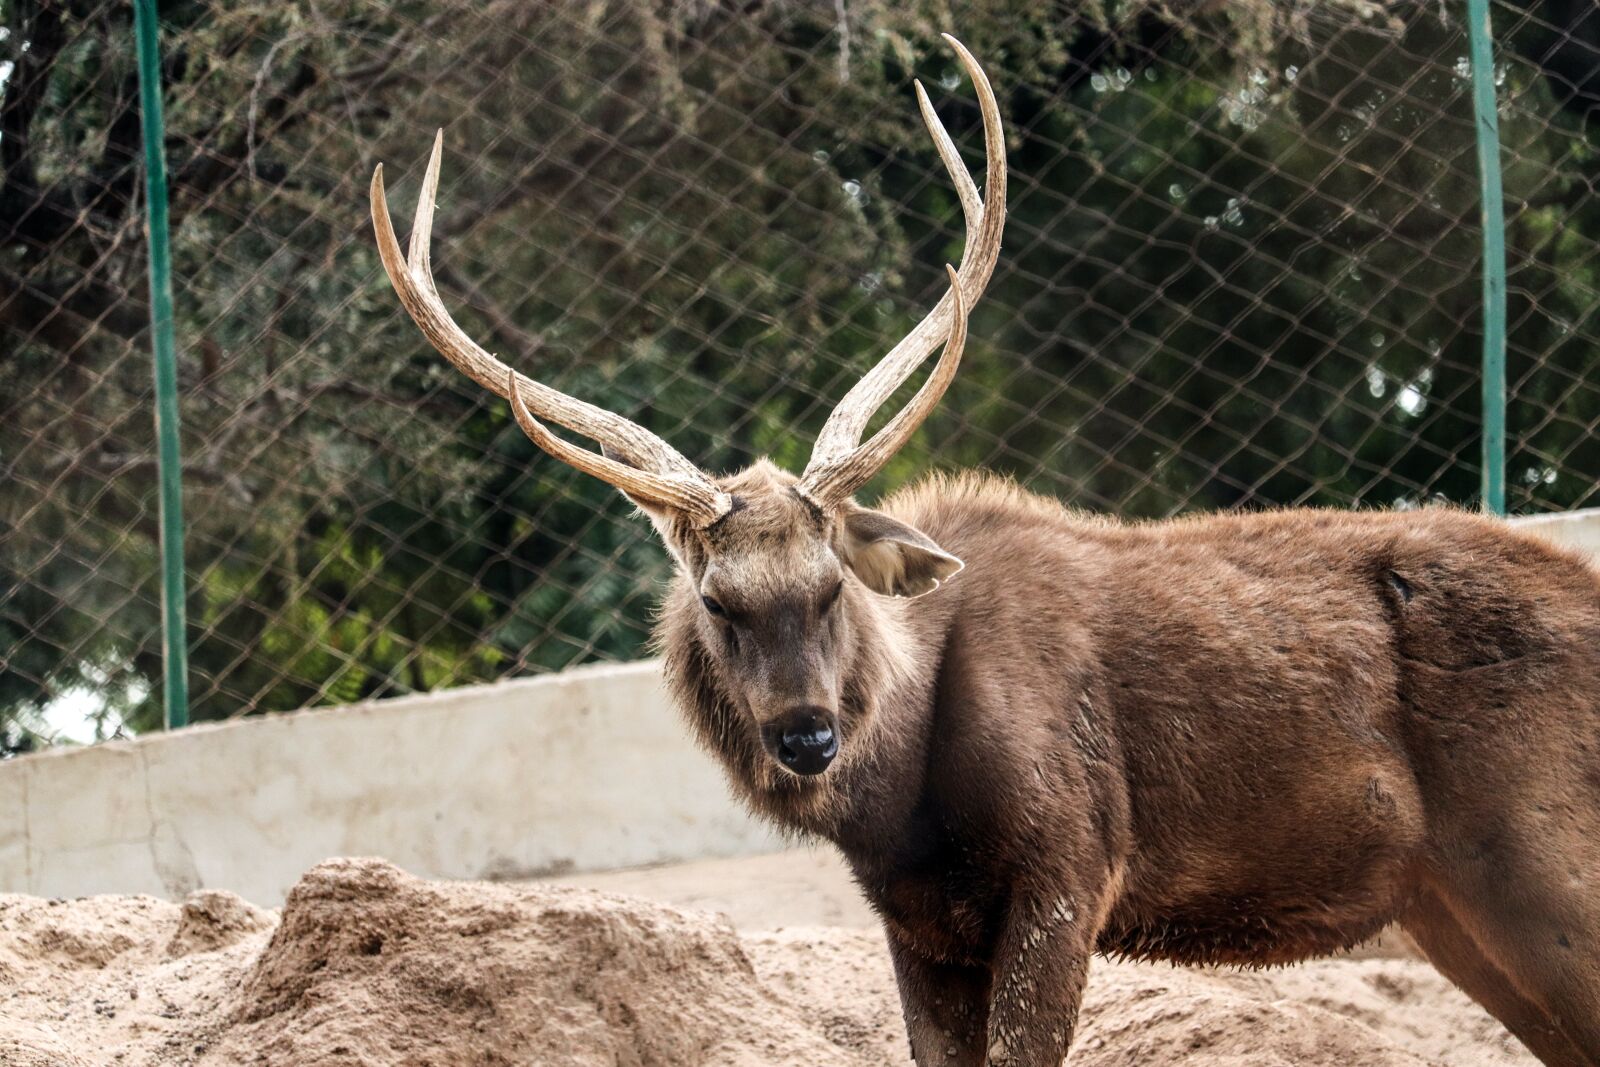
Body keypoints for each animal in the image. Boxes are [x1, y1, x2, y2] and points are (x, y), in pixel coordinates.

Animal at [369, 36, 1600, 1067]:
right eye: (718, 600)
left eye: (832, 586)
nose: (806, 733)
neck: (902, 807)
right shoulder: (917, 920)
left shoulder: (1069, 865)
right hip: (1449, 903)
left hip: (1540, 850)